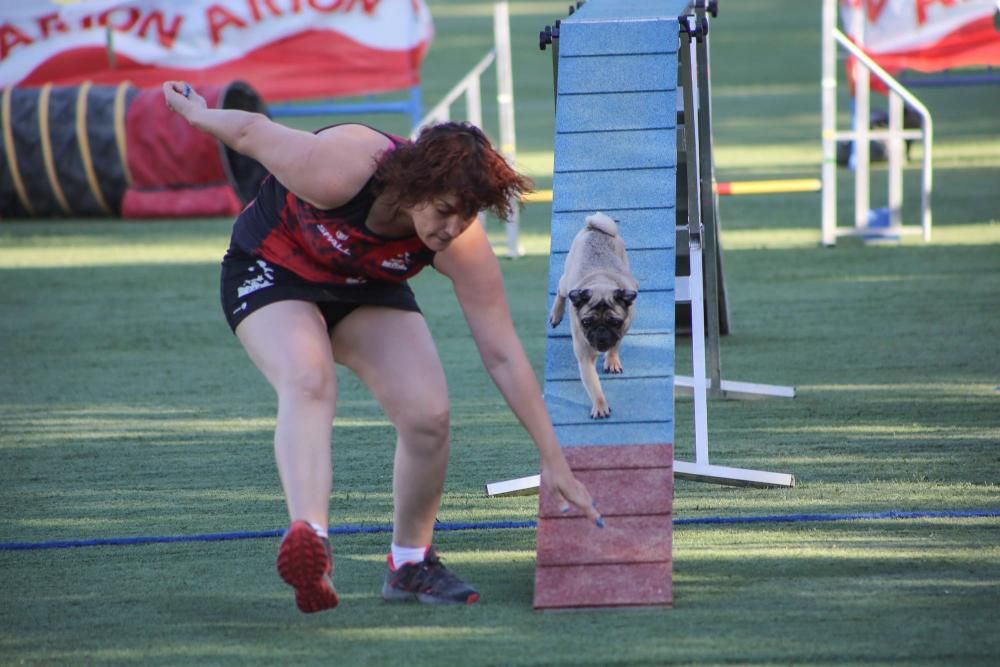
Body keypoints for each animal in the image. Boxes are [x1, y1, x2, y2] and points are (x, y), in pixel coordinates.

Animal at [552, 211, 636, 420]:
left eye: (615, 322)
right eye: (586, 322)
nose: (601, 332)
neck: (601, 283)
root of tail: (594, 227)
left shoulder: (624, 327)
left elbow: (615, 344)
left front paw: (612, 359)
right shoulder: (585, 357)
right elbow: (594, 385)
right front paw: (600, 405)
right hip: (566, 283)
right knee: (560, 290)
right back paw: (555, 315)